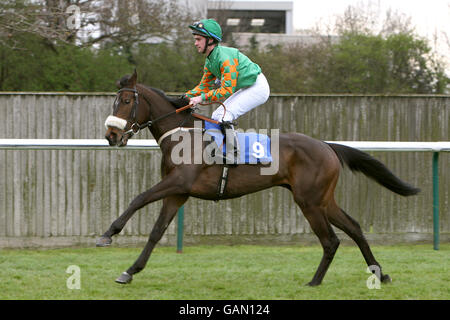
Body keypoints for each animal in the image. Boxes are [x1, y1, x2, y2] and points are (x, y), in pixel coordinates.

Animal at [96, 69, 420, 284]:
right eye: (114, 102)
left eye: (126, 102)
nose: (111, 136)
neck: (181, 136)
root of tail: (327, 146)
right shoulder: (177, 193)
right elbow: (156, 231)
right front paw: (129, 271)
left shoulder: (177, 183)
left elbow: (138, 198)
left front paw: (107, 234)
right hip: (323, 200)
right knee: (353, 228)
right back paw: (380, 273)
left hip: (310, 201)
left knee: (330, 240)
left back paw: (314, 282)